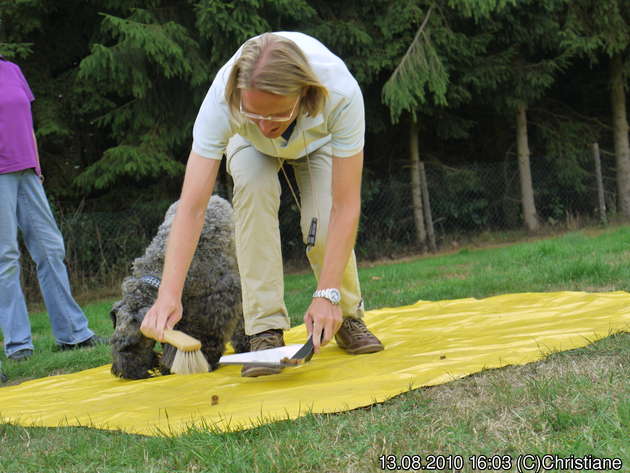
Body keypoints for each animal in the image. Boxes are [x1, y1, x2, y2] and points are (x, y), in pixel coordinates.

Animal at [112, 195, 251, 380]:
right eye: (114, 343)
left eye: (130, 345)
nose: (125, 373)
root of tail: (216, 198)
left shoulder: (215, 303)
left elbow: (206, 333)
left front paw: (206, 357)